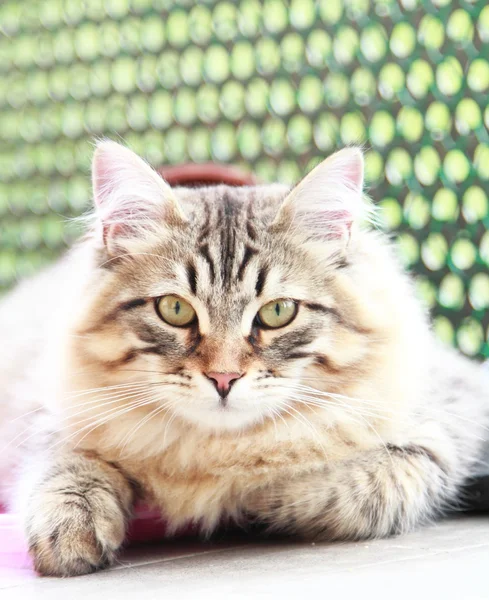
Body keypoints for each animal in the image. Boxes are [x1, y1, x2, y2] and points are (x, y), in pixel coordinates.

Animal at [0, 141, 488, 576]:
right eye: (174, 309)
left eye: (278, 312)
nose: (223, 377)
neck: (219, 449)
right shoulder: (50, 417)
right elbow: (67, 469)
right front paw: (70, 535)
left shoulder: (448, 422)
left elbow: (363, 485)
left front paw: (250, 498)